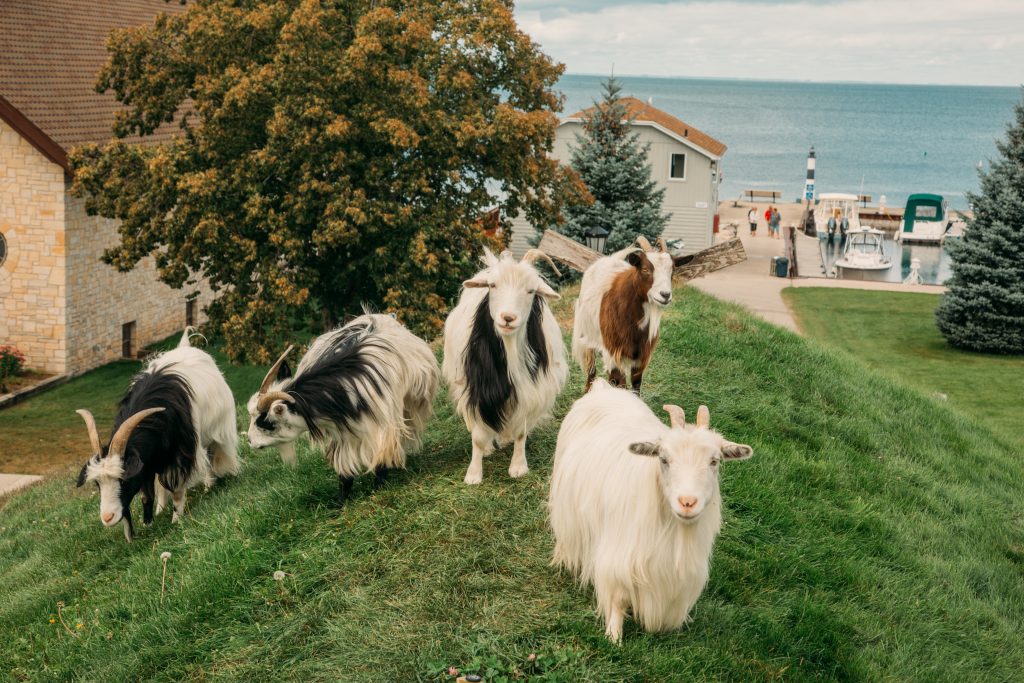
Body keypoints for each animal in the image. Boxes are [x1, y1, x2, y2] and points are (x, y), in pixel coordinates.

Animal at [75, 327, 239, 540]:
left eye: (123, 480)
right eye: (97, 483)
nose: (107, 517)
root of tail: (185, 346)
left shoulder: (179, 456)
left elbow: (176, 490)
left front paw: (176, 520)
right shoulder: (146, 463)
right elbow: (147, 495)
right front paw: (148, 522)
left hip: (216, 430)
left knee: (211, 454)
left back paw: (210, 484)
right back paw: (161, 508)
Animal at [249, 313, 442, 501]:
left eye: (265, 423)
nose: (250, 441)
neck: (339, 393)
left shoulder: (382, 425)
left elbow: (382, 456)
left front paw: (379, 488)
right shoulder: (340, 433)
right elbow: (344, 466)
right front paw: (341, 500)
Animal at [440, 249, 569, 485]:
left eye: (531, 290)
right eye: (492, 286)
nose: (508, 318)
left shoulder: (530, 388)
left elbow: (520, 432)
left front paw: (518, 466)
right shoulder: (474, 389)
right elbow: (478, 437)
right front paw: (473, 474)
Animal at [548, 382, 757, 643]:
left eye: (715, 461)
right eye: (664, 459)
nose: (687, 502)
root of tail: (604, 388)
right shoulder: (619, 555)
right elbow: (618, 598)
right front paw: (614, 636)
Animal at [573, 236, 675, 393]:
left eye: (672, 271)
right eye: (645, 269)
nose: (665, 295)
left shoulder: (641, 354)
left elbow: (636, 383)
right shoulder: (614, 351)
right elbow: (618, 382)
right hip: (587, 333)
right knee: (591, 367)